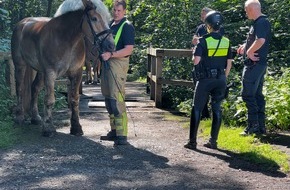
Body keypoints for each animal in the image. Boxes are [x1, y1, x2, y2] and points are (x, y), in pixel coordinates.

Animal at [10, 0, 114, 137]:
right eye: (94, 18)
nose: (111, 45)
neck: (66, 40)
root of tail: (22, 23)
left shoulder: (76, 72)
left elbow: (74, 99)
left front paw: (76, 127)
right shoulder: (50, 73)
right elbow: (49, 100)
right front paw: (48, 128)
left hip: (40, 71)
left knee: (35, 88)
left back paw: (36, 117)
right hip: (20, 65)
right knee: (20, 88)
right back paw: (19, 117)